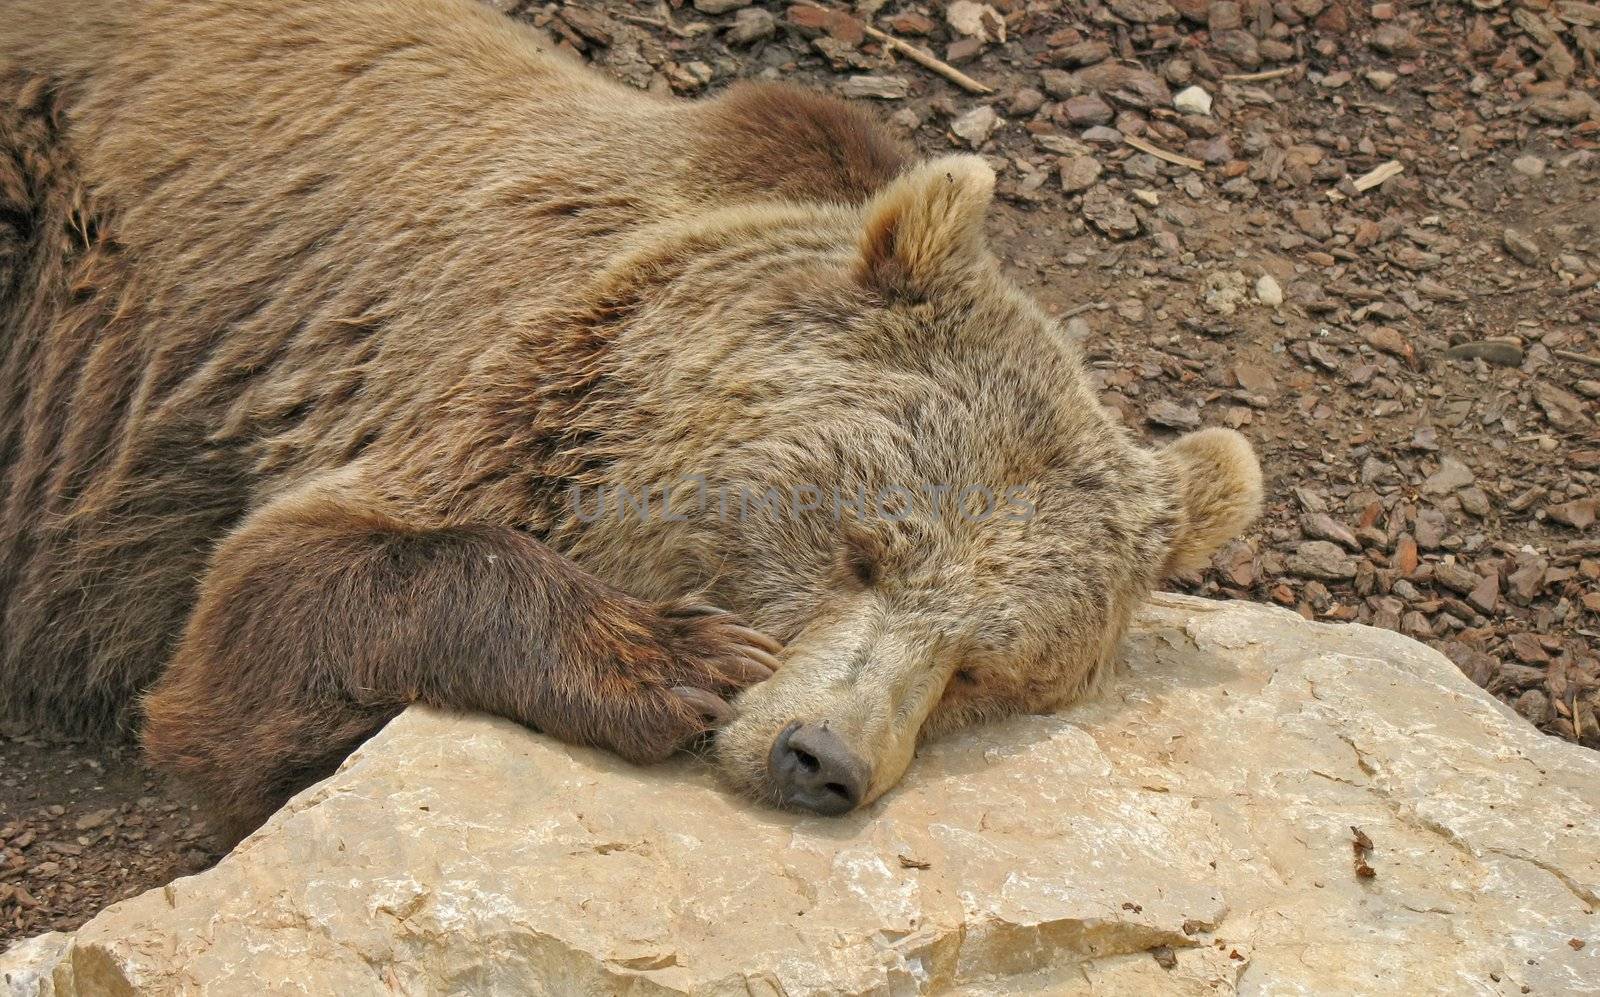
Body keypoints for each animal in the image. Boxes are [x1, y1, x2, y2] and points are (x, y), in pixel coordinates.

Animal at [3, 0, 1260, 838]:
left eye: (986, 669)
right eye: (860, 551)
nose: (824, 757)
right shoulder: (487, 380)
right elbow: (265, 614)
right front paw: (674, 656)